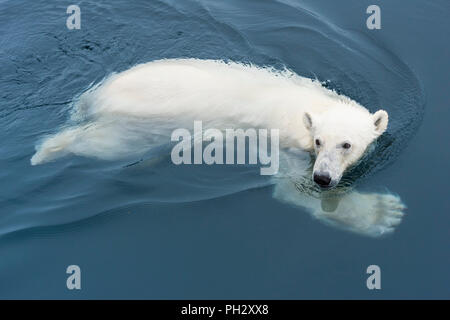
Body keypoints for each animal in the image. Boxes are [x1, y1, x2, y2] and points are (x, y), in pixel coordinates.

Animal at [29, 58, 406, 236]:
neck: (310, 106)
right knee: (103, 145)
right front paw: (382, 212)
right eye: (318, 141)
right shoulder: (285, 147)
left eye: (347, 144)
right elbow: (292, 190)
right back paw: (44, 151)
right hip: (138, 125)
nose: (323, 178)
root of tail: (95, 96)